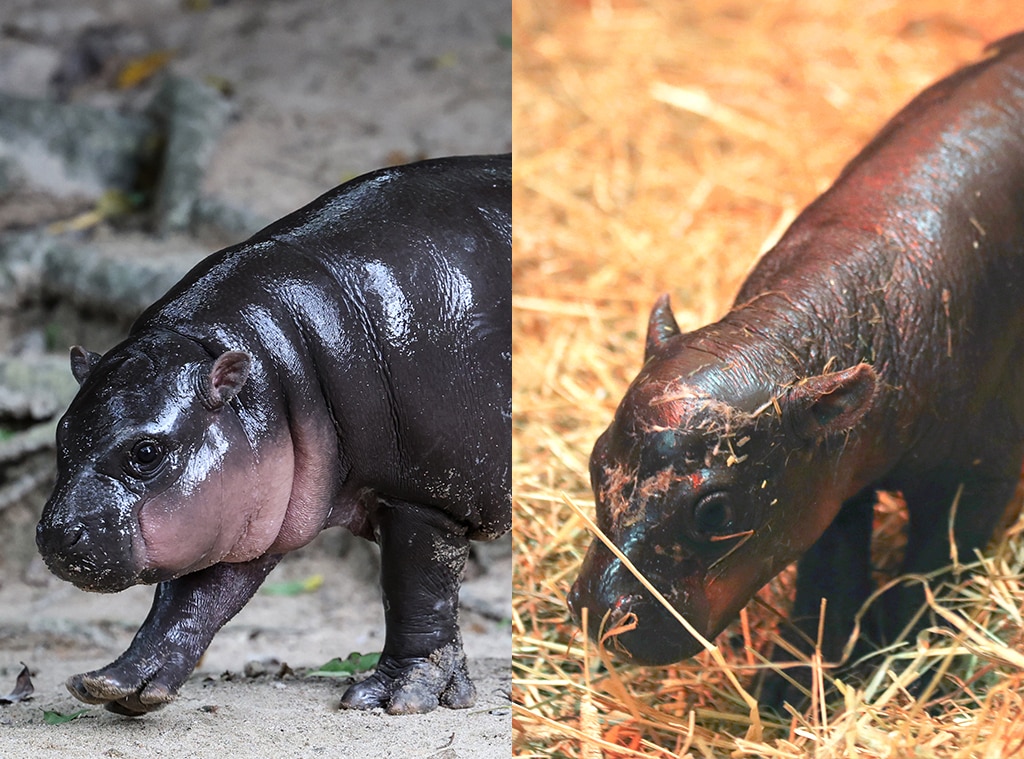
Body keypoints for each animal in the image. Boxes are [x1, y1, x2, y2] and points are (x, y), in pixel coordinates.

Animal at [37, 155, 512, 717]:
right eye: (61, 433)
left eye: (146, 452)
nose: (52, 535)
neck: (283, 362)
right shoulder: (243, 509)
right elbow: (191, 600)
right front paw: (118, 686)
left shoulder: (425, 497)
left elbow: (417, 593)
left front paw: (397, 696)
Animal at [573, 29, 1024, 692]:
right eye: (596, 460)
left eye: (716, 511)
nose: (600, 615)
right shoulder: (833, 476)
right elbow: (829, 579)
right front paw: (789, 688)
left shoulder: (977, 477)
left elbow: (929, 575)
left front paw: (902, 669)